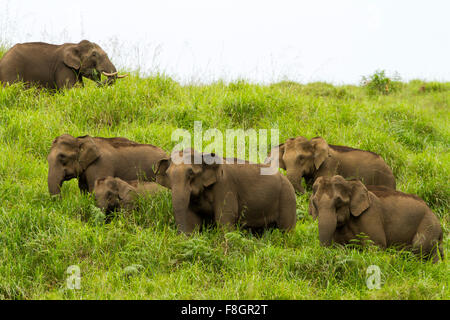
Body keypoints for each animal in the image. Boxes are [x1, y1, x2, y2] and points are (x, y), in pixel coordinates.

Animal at [156, 149, 298, 235]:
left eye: (190, 172)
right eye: (167, 174)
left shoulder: (225, 186)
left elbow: (225, 218)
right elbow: (191, 219)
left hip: (287, 198)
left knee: (286, 230)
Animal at [310, 175, 442, 262]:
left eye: (338, 201)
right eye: (314, 203)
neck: (350, 183)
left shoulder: (370, 215)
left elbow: (376, 245)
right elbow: (340, 246)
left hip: (428, 226)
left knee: (420, 248)